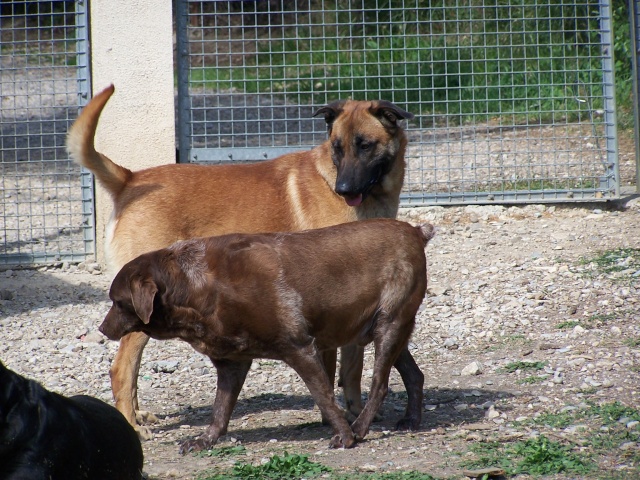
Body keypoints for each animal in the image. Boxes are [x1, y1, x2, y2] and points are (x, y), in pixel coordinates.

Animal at [66, 84, 416, 436]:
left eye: (365, 145)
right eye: (337, 148)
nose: (342, 189)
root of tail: (130, 179)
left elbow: (353, 366)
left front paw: (356, 410)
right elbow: (334, 371)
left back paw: (138, 416)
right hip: (141, 315)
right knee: (121, 369)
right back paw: (131, 425)